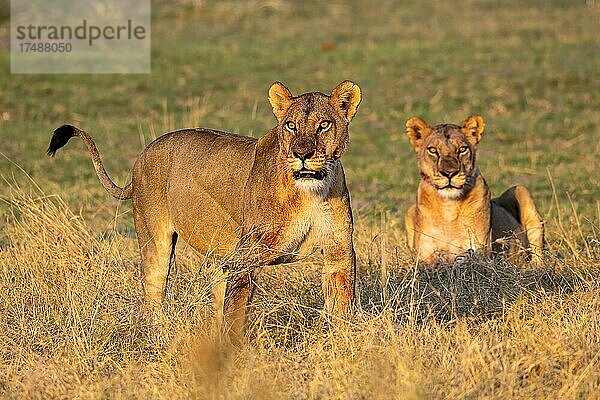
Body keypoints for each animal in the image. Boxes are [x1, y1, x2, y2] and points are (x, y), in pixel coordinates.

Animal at [47, 80, 360, 334]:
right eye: (290, 126)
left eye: (324, 125)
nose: (302, 153)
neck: (310, 193)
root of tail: (144, 153)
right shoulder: (246, 257)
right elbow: (236, 314)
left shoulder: (339, 252)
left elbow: (341, 309)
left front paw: (341, 347)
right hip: (156, 242)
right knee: (152, 295)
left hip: (220, 256)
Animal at [404, 114, 544, 268]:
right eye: (433, 150)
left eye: (462, 149)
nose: (449, 173)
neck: (448, 207)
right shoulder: (423, 255)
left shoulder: (482, 250)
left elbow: (467, 258)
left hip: (520, 190)